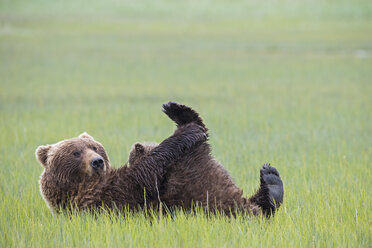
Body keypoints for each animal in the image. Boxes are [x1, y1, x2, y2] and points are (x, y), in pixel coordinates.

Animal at [36, 117, 208, 214]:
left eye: (94, 147)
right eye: (76, 153)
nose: (97, 161)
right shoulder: (104, 196)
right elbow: (144, 174)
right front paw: (190, 131)